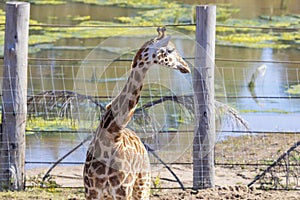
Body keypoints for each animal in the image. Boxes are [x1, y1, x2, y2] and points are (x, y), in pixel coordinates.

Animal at [83, 27, 190, 200]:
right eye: (170, 50)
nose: (186, 67)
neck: (112, 135)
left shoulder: (122, 191)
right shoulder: (91, 191)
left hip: (142, 186)